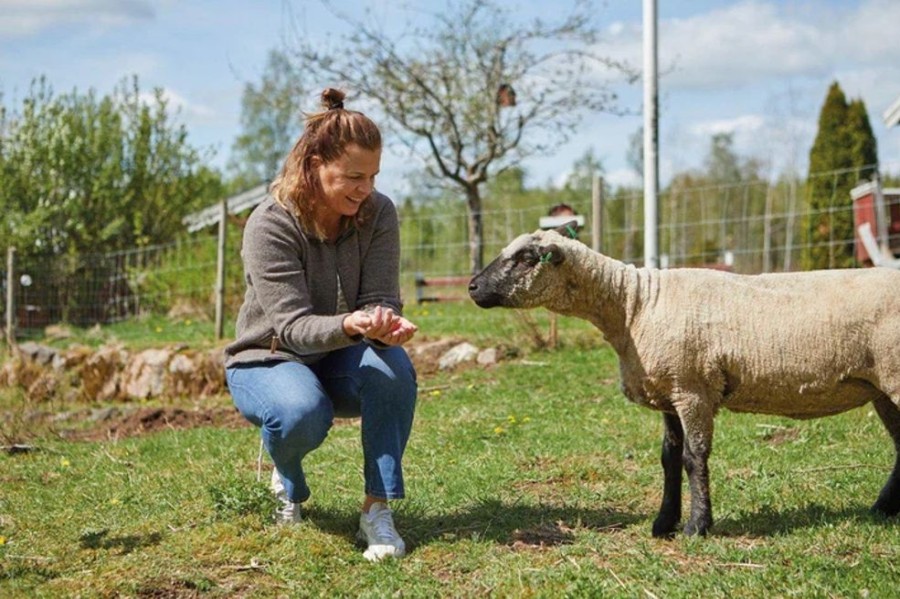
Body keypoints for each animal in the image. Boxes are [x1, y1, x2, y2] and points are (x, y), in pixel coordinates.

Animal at [468, 225, 900, 540]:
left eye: (526, 258)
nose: (472, 287)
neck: (633, 304)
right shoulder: (668, 390)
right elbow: (669, 459)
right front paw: (664, 524)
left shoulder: (693, 390)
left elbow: (694, 458)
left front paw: (697, 526)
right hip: (881, 389)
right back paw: (882, 509)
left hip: (894, 377)